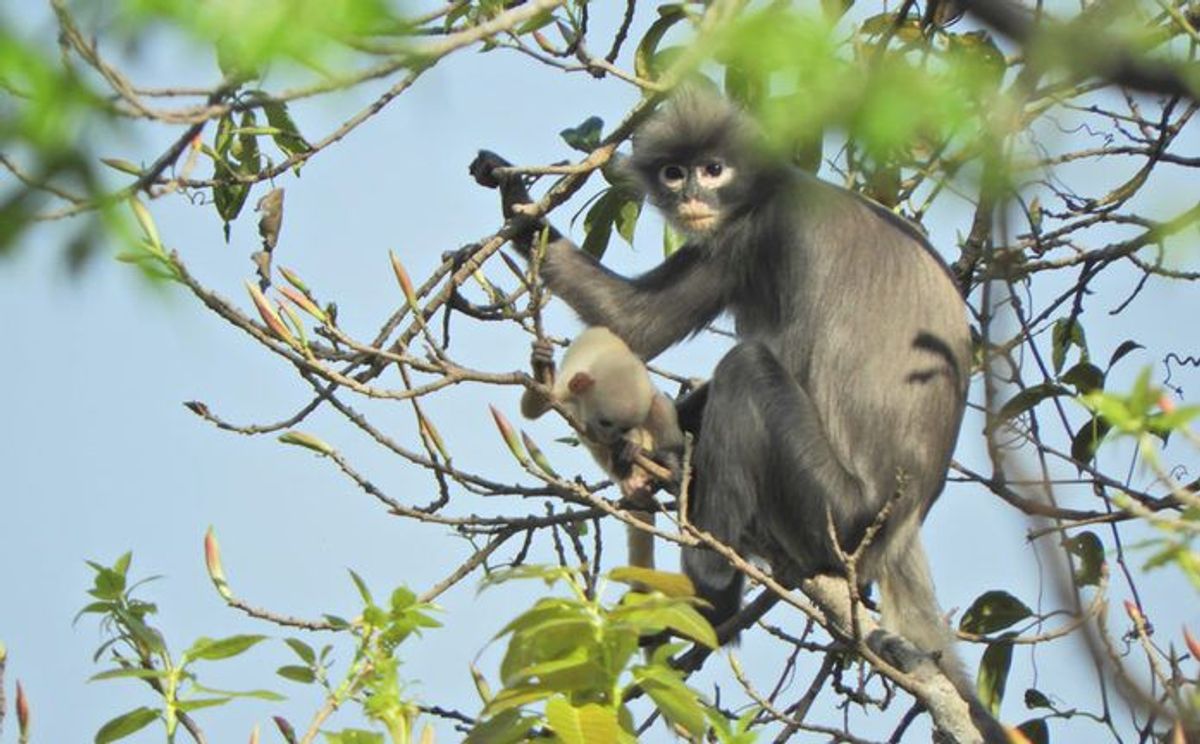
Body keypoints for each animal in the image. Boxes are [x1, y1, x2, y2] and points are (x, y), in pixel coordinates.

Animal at [523, 326, 686, 568]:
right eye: (605, 422)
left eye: (624, 427)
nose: (614, 437)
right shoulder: (566, 390)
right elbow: (534, 408)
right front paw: (540, 363)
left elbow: (657, 405)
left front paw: (638, 448)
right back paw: (627, 474)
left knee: (658, 408)